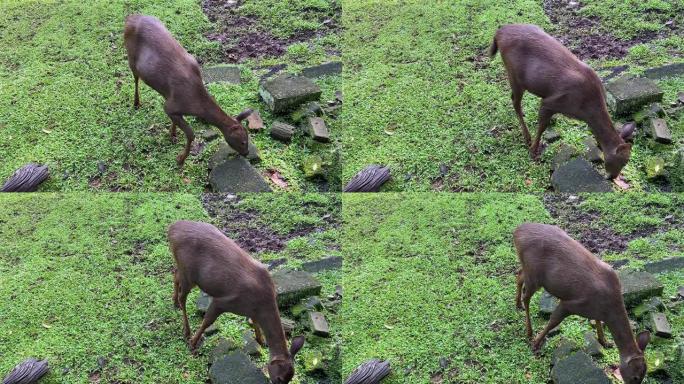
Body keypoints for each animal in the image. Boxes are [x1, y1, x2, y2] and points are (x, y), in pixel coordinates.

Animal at [123, 14, 251, 167]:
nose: (247, 153)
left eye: (248, 137)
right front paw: (180, 159)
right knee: (136, 77)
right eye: (243, 141)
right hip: (130, 54)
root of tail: (130, 18)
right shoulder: (172, 105)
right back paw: (136, 103)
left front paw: (172, 134)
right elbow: (191, 134)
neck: (196, 104)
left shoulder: (171, 103)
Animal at [168, 220, 304, 382]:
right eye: (279, 378)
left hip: (185, 270)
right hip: (189, 273)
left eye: (289, 379)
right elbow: (207, 321)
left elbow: (254, 322)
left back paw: (174, 302)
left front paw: (261, 340)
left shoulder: (252, 309)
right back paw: (186, 329)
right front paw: (193, 343)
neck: (262, 302)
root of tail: (171, 229)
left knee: (175, 273)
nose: (275, 380)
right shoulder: (224, 301)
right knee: (183, 296)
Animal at [488, 24, 632, 180]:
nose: (612, 177)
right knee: (515, 101)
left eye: (625, 163)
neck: (586, 110)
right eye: (621, 161)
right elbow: (542, 126)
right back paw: (527, 137)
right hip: (514, 75)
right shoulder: (552, 101)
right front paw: (533, 152)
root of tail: (498, 33)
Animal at [512, 224, 652, 382]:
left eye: (643, 376)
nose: (633, 381)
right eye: (635, 377)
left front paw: (604, 341)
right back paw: (529, 331)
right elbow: (553, 322)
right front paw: (536, 344)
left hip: (529, 269)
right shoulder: (571, 304)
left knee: (519, 274)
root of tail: (517, 231)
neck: (609, 306)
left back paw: (517, 304)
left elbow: (598, 322)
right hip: (535, 275)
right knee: (526, 296)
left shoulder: (596, 309)